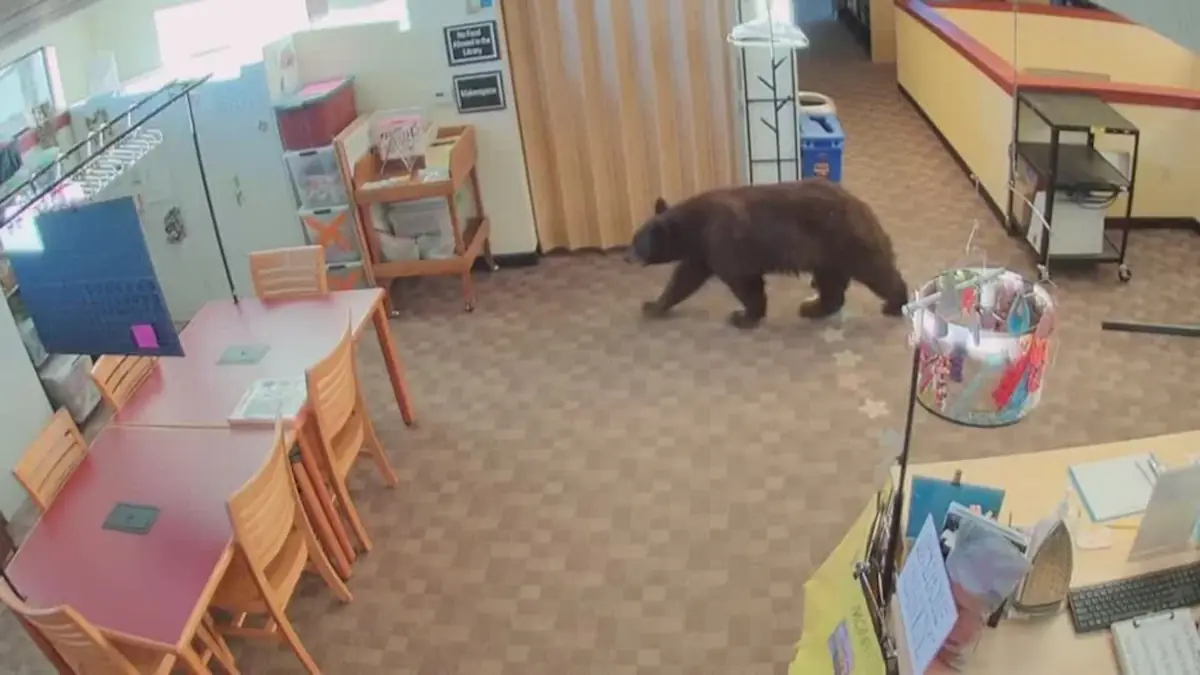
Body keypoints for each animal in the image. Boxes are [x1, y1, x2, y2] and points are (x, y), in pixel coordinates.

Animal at [625, 179, 909, 329]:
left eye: (636, 243)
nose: (626, 256)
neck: (696, 228)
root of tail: (861, 205)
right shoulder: (702, 251)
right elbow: (684, 279)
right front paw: (653, 305)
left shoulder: (724, 240)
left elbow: (743, 281)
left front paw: (743, 316)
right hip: (826, 254)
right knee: (831, 284)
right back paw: (812, 307)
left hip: (844, 240)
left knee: (875, 269)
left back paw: (895, 303)